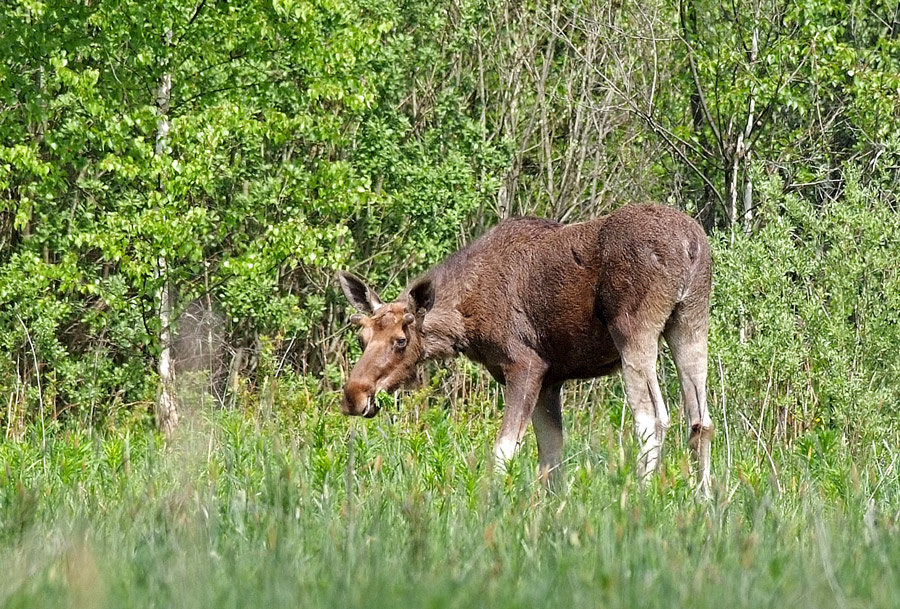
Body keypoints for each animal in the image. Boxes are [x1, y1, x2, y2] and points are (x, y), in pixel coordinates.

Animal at [336, 204, 712, 494]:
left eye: (401, 341)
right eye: (362, 338)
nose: (354, 394)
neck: (464, 324)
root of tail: (690, 245)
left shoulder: (525, 365)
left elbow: (503, 450)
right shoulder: (551, 379)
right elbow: (552, 459)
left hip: (635, 331)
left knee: (653, 418)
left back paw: (640, 498)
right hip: (690, 322)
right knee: (700, 420)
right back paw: (704, 502)